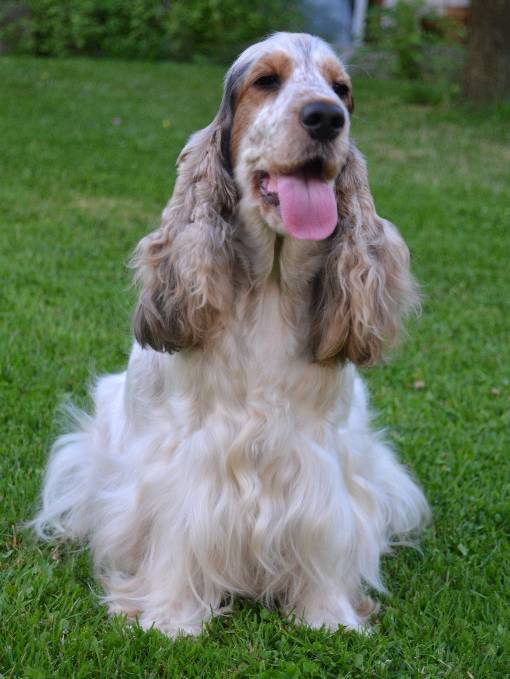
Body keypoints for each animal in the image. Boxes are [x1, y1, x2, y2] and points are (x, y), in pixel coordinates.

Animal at [32, 31, 430, 636]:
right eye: (266, 80)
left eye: (342, 90)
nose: (326, 117)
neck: (269, 289)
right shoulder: (185, 464)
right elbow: (178, 536)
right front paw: (170, 621)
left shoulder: (322, 464)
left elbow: (328, 541)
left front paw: (331, 618)